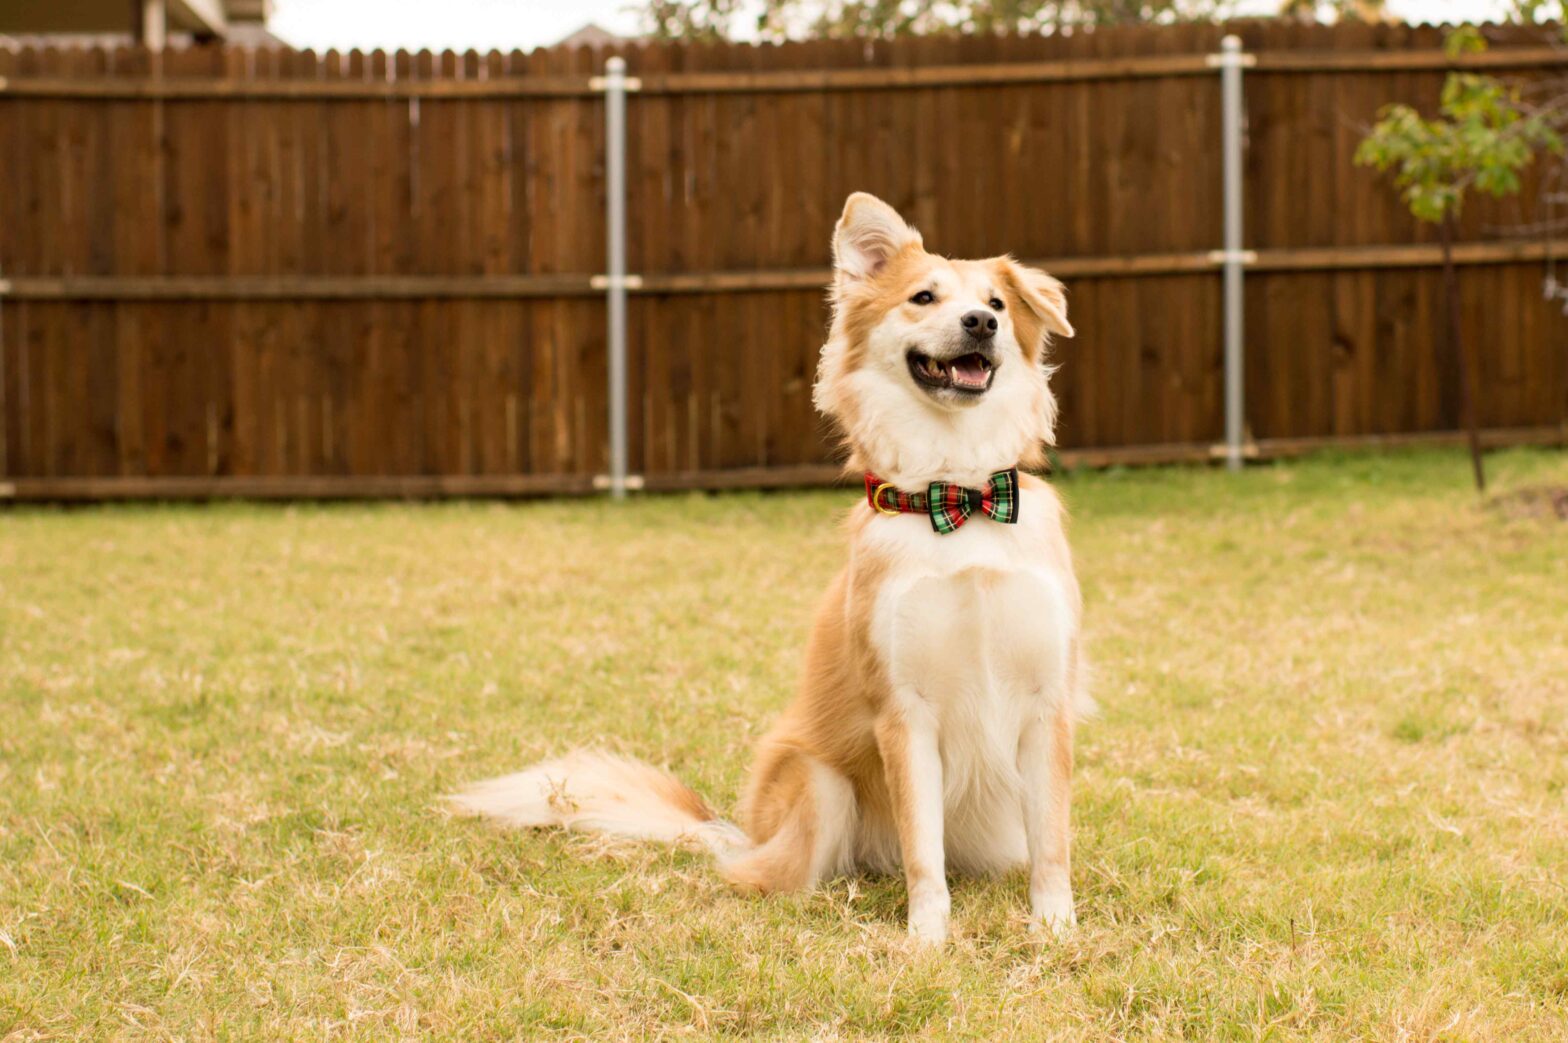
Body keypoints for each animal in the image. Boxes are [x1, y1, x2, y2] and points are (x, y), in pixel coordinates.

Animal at [454, 191, 1085, 941]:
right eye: (923, 297)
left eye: (997, 302)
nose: (981, 323)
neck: (959, 495)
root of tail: (745, 832)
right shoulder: (903, 711)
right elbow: (922, 851)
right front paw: (928, 939)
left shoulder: (1047, 702)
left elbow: (1051, 841)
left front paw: (1056, 930)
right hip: (817, 781)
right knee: (768, 872)